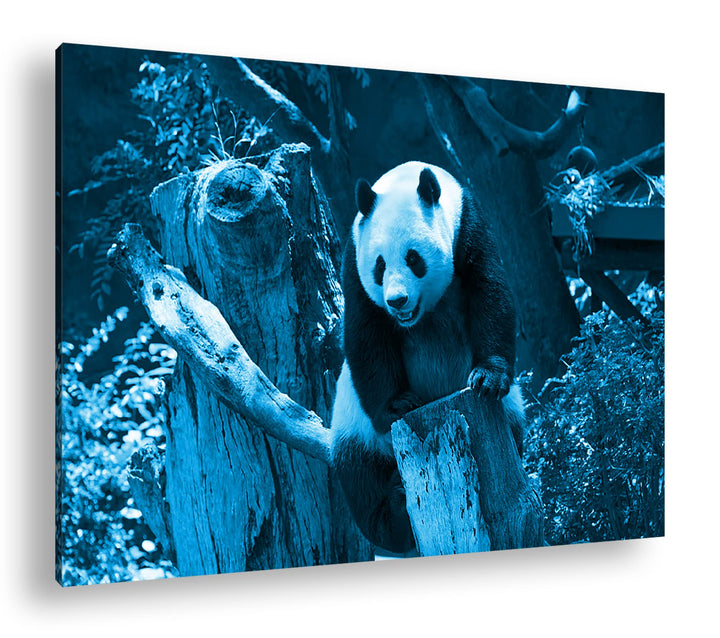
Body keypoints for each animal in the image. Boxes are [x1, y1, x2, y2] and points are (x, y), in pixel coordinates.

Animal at [330, 161, 525, 554]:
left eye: (413, 258)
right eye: (379, 266)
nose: (397, 300)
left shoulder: (468, 225)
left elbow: (490, 292)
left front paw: (487, 378)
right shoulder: (354, 257)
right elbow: (366, 334)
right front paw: (399, 404)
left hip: (512, 411)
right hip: (354, 427)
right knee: (363, 482)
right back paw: (395, 508)